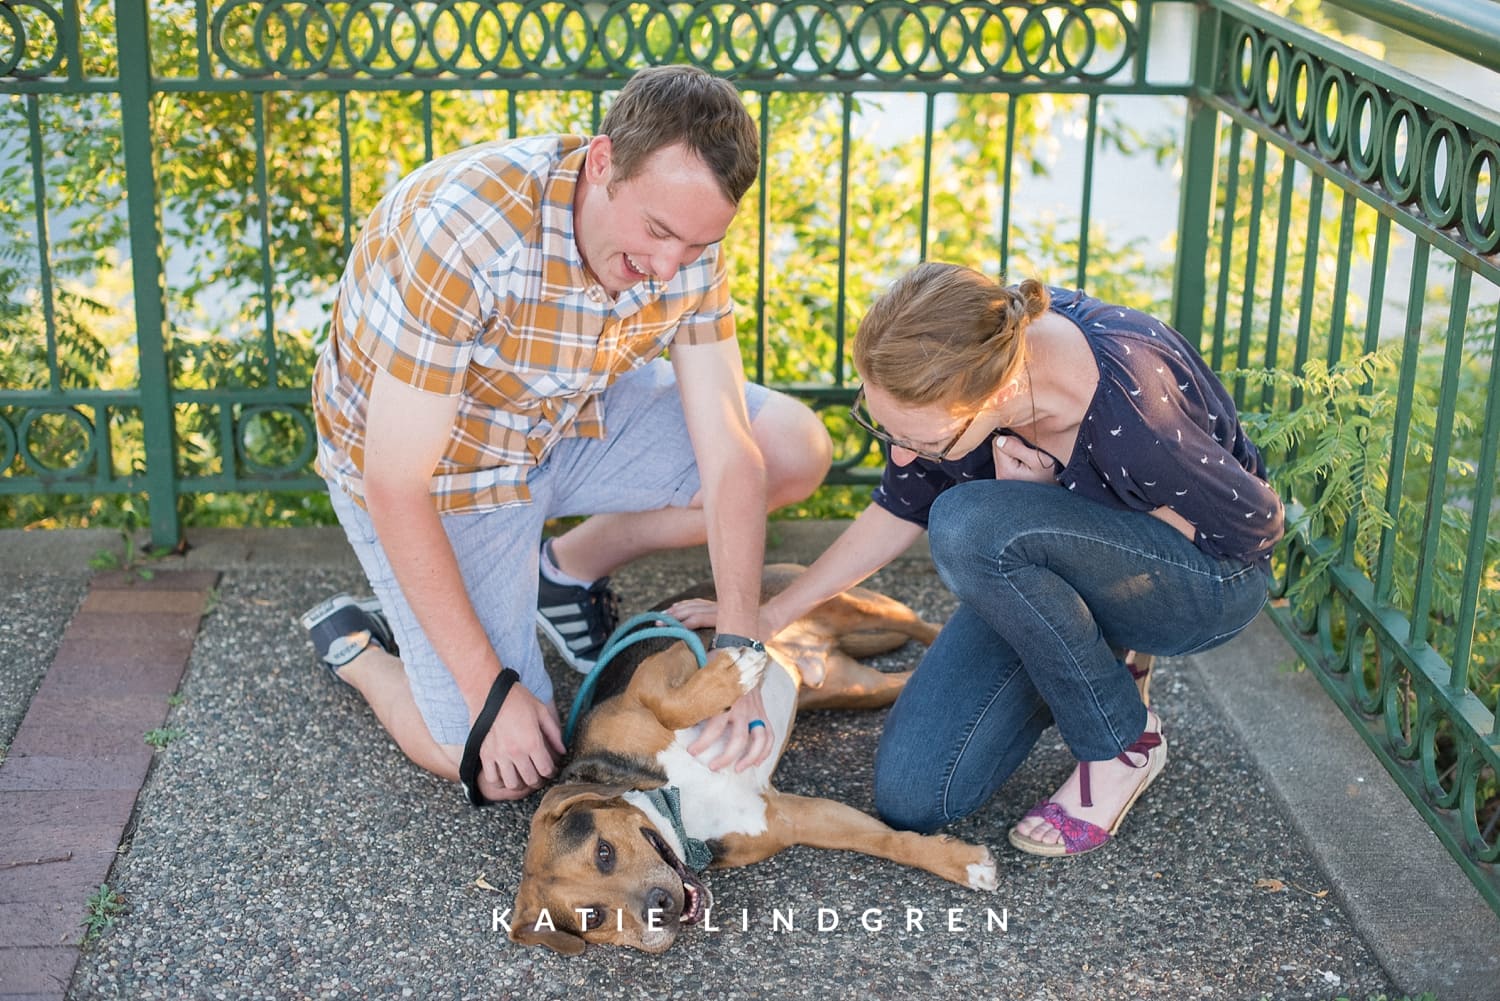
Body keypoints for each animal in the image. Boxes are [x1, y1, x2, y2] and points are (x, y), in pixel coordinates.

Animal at [510, 564, 1002, 954]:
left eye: (604, 852)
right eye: (593, 917)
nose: (659, 908)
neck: (678, 807)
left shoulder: (654, 676)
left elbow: (671, 703)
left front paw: (734, 671)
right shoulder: (790, 818)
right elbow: (885, 840)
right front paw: (962, 864)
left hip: (857, 605)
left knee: (924, 624)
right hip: (859, 688)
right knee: (900, 677)